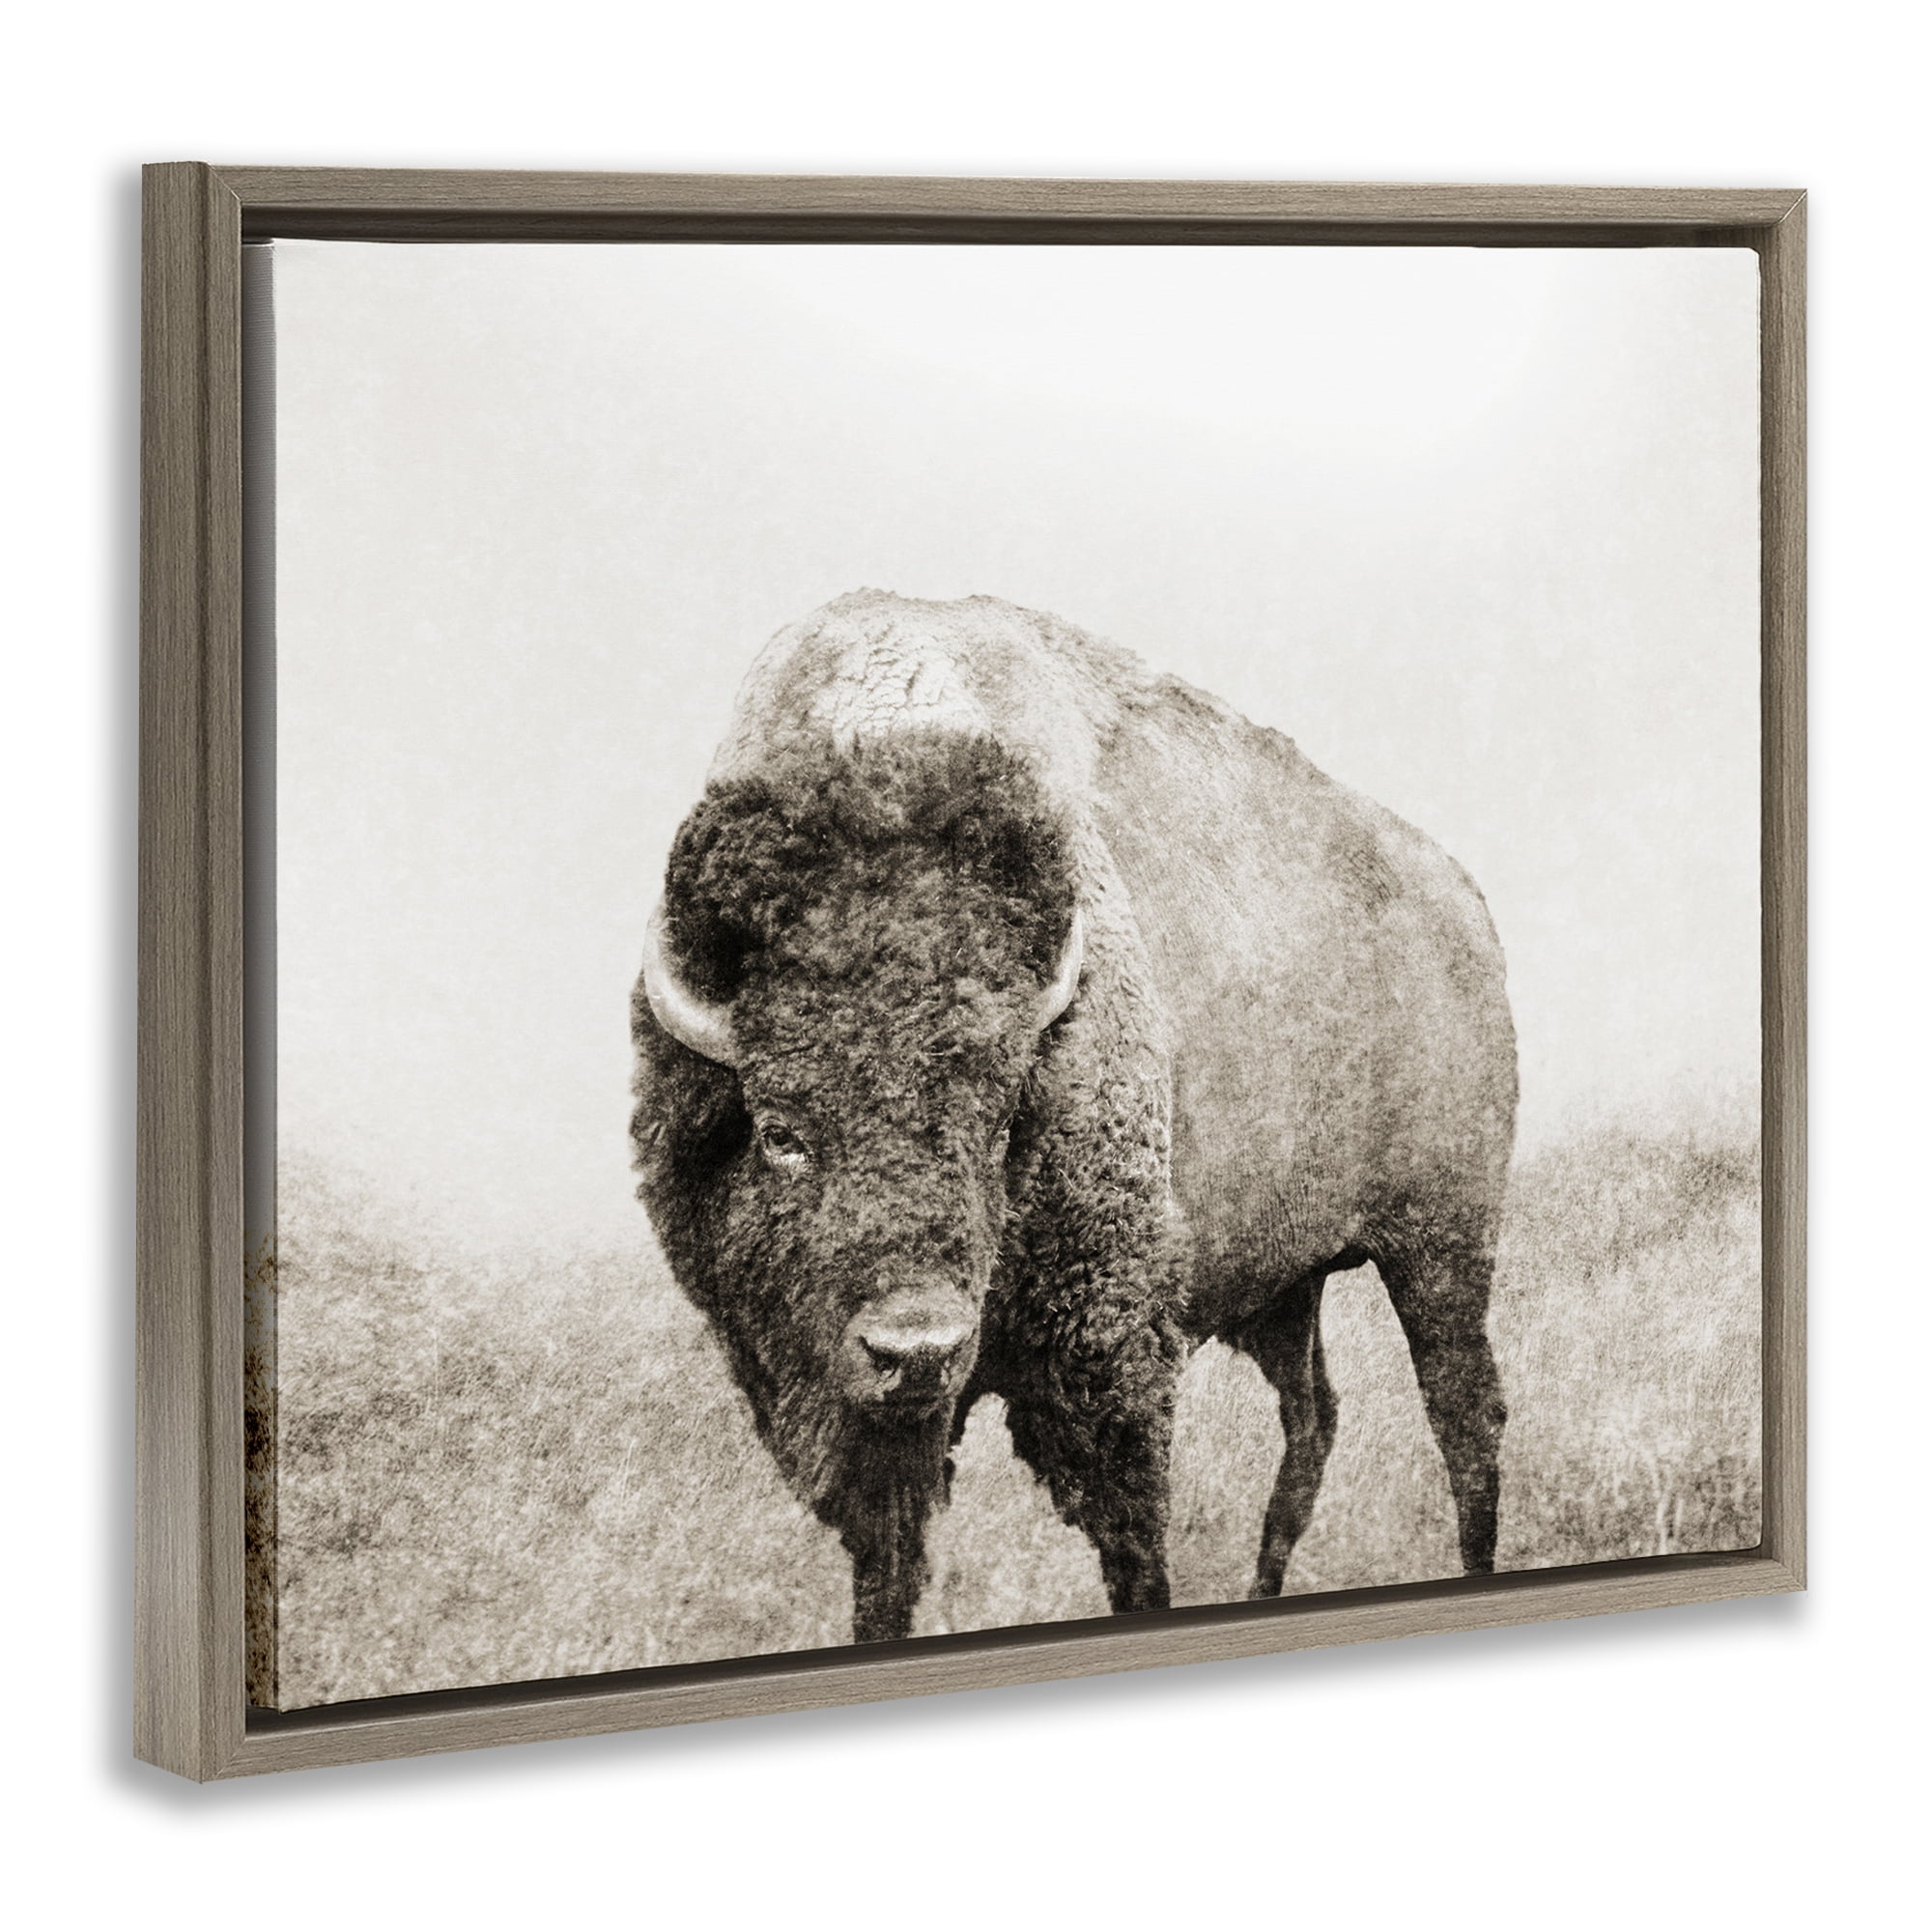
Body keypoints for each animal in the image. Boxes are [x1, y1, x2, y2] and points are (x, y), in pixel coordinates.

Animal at [632, 590, 1515, 1643]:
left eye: (1000, 1116)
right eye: (780, 1134)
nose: (918, 1349)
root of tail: (1463, 899)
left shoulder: (1107, 1358)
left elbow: (1131, 1543)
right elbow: (886, 1568)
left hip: (1440, 1245)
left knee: (1464, 1415)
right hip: (1286, 1286)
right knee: (1313, 1420)